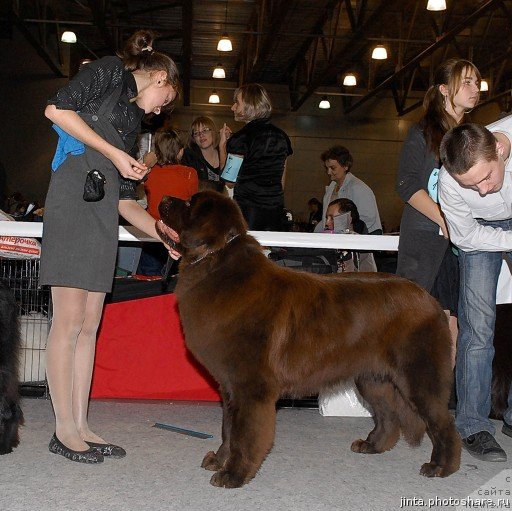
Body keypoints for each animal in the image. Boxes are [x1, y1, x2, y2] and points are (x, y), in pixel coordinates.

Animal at [156, 191, 460, 488]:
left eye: (190, 204)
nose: (164, 199)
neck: (215, 262)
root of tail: (431, 299)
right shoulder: (230, 387)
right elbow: (227, 429)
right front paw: (219, 460)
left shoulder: (251, 388)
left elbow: (244, 434)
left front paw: (234, 474)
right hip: (372, 379)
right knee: (388, 414)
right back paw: (372, 445)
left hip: (418, 376)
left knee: (442, 421)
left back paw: (441, 466)